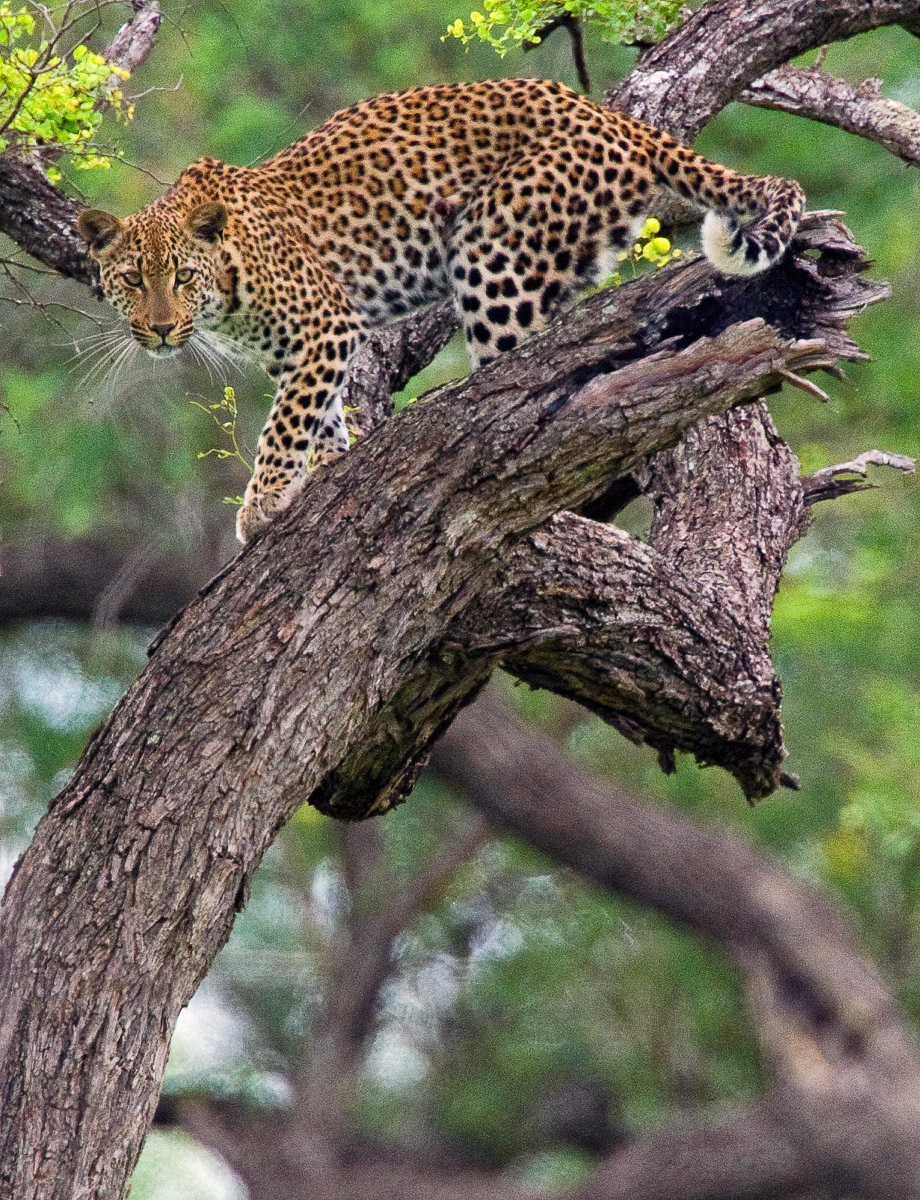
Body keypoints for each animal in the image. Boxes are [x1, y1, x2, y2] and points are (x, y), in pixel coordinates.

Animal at [77, 78, 805, 543]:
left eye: (181, 277)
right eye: (131, 281)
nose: (160, 329)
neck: (224, 290)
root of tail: (611, 116)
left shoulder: (325, 324)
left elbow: (285, 425)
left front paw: (262, 506)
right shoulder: (302, 352)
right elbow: (318, 417)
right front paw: (326, 470)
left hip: (494, 255)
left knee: (528, 382)